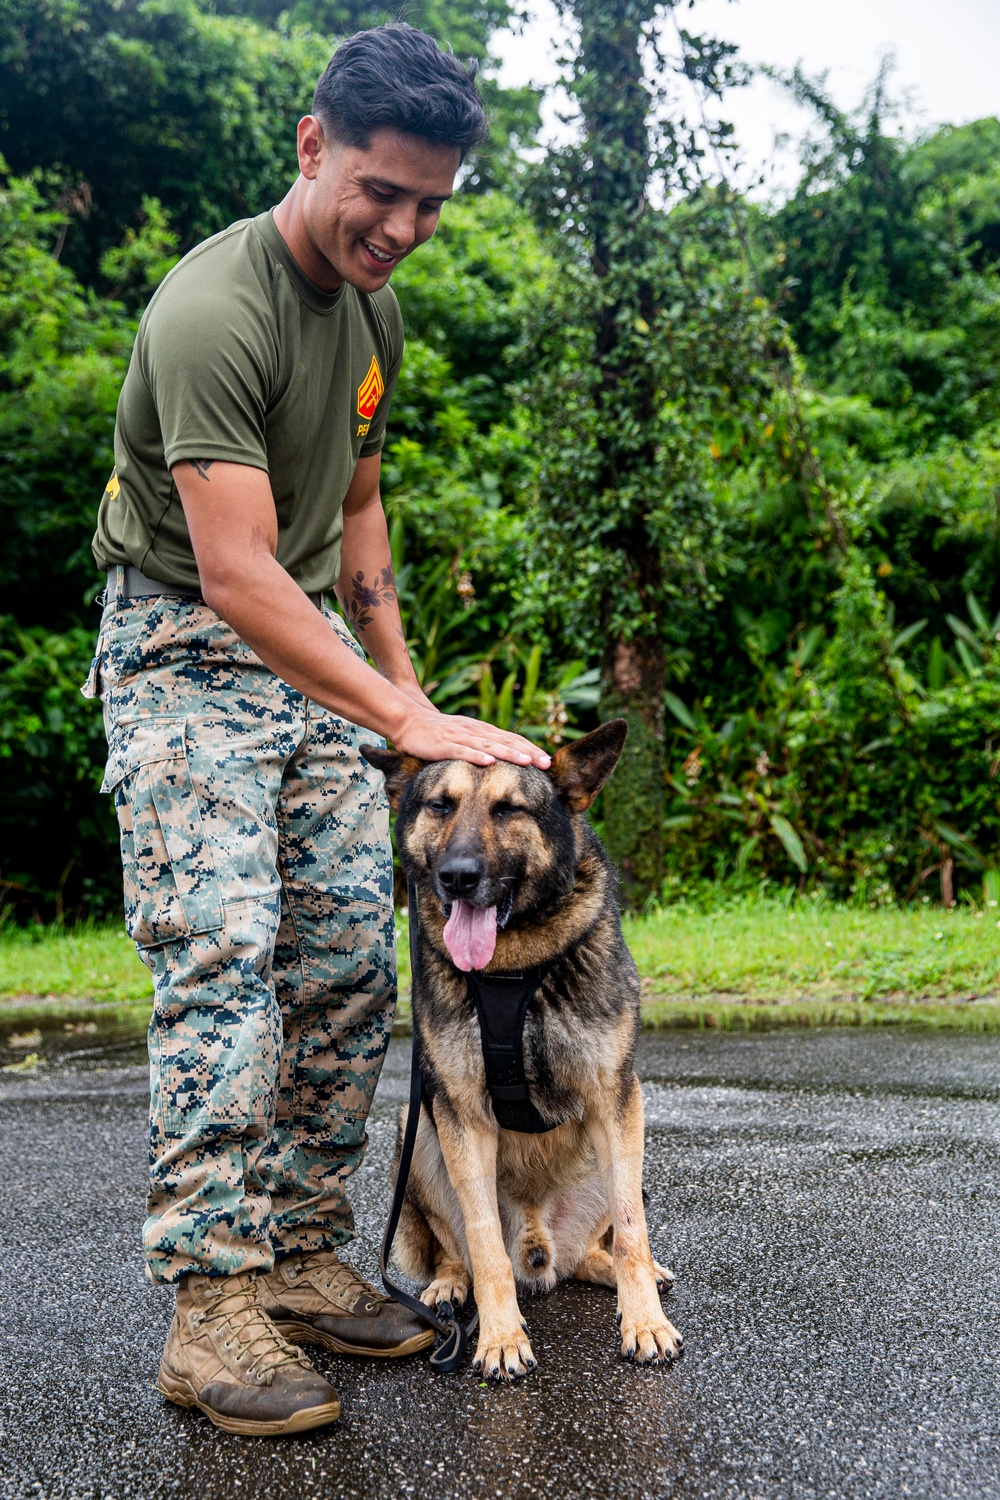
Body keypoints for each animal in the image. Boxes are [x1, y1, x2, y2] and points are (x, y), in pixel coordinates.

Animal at [364, 720, 683, 1374]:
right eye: (440, 805)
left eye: (509, 809)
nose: (457, 876)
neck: (512, 969)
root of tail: (542, 1250)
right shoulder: (462, 1117)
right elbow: (483, 1241)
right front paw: (501, 1337)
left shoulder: (616, 1099)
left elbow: (632, 1232)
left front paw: (645, 1323)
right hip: (419, 1135)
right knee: (458, 1248)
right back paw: (449, 1286)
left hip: (619, 1158)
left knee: (602, 1244)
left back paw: (615, 1273)